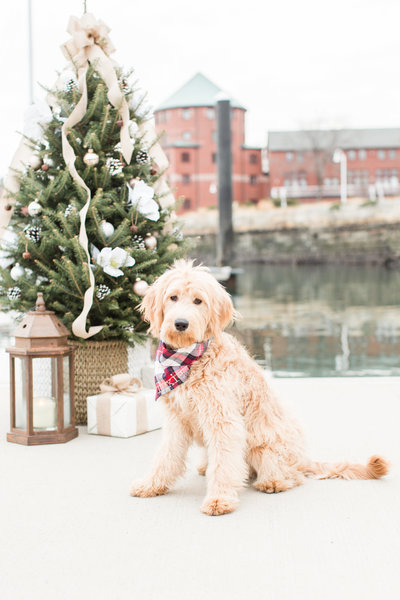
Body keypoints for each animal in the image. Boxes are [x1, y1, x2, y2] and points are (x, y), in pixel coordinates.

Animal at [130, 258, 390, 516]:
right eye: (172, 297)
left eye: (198, 301)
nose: (181, 323)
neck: (187, 361)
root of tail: (302, 458)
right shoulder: (177, 420)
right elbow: (166, 456)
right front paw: (150, 485)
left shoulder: (223, 420)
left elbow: (224, 464)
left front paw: (219, 499)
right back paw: (206, 466)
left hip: (265, 447)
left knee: (289, 475)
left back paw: (273, 482)